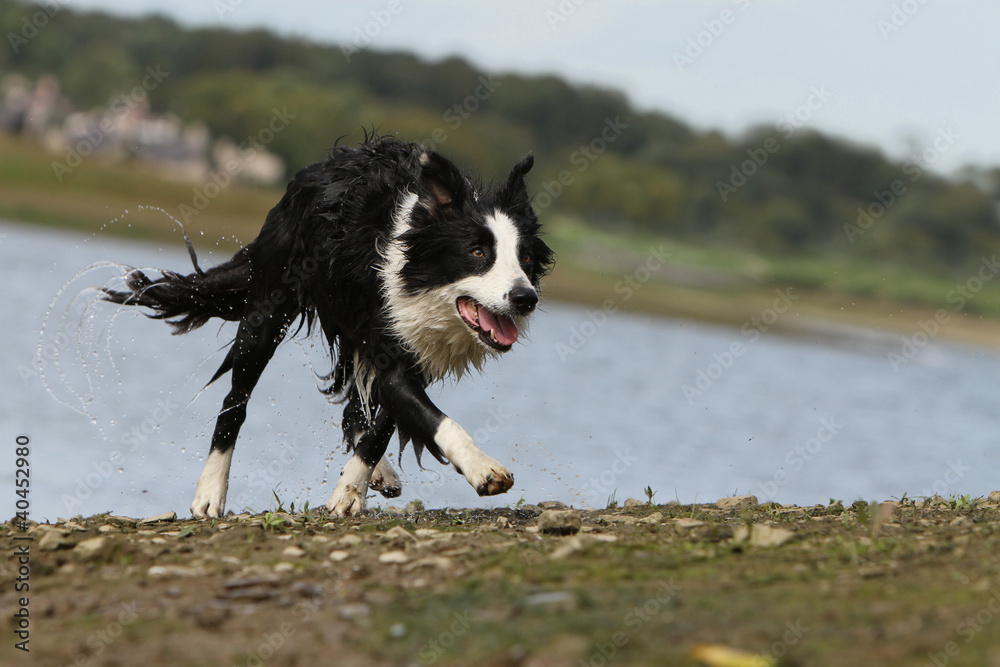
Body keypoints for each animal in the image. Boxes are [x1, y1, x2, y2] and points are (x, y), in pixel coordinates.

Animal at [103, 136, 556, 520]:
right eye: (477, 253)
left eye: (525, 259)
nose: (525, 298)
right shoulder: (389, 346)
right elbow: (435, 419)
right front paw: (484, 470)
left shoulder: (409, 347)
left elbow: (385, 424)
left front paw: (351, 489)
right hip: (267, 313)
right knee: (235, 401)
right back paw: (209, 493)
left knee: (355, 404)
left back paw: (378, 472)